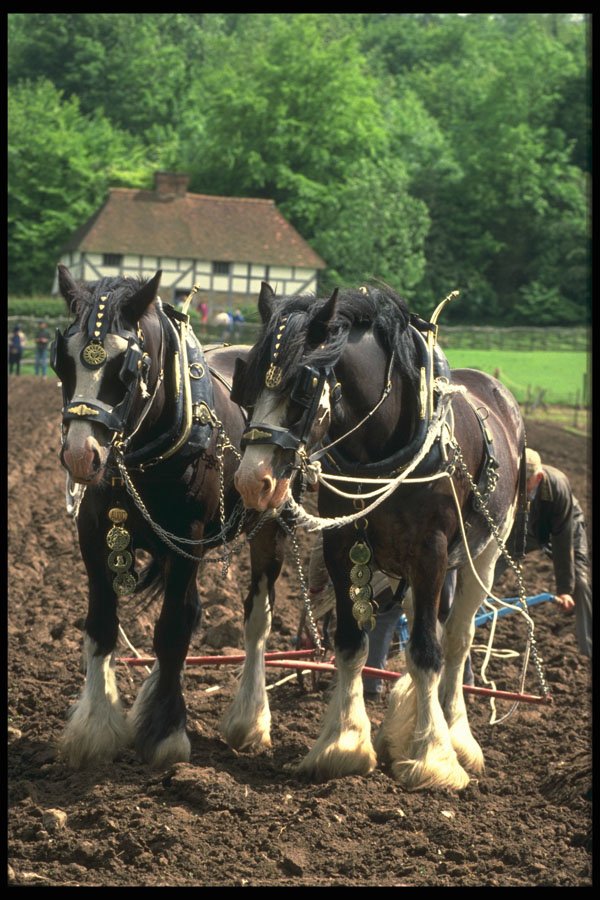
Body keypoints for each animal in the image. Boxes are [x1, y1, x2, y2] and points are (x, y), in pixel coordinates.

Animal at [52, 266, 288, 769]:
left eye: (129, 368)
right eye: (63, 361)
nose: (81, 455)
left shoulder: (188, 539)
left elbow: (171, 631)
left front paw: (165, 732)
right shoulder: (94, 534)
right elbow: (102, 625)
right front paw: (95, 728)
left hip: (271, 523)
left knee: (256, 619)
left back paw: (249, 718)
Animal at [230, 281, 527, 791]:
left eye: (301, 385)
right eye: (246, 381)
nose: (252, 480)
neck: (384, 447)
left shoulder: (430, 552)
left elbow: (427, 650)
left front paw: (433, 757)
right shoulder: (343, 545)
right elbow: (352, 641)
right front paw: (343, 743)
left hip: (481, 553)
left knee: (456, 639)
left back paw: (457, 736)